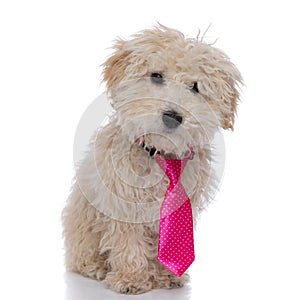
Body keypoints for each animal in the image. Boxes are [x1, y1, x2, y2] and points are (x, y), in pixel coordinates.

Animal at [62, 24, 243, 294]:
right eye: (156, 76)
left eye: (195, 87)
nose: (173, 116)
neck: (160, 156)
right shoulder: (123, 204)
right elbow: (128, 242)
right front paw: (131, 277)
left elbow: (167, 240)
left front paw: (166, 274)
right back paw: (96, 266)